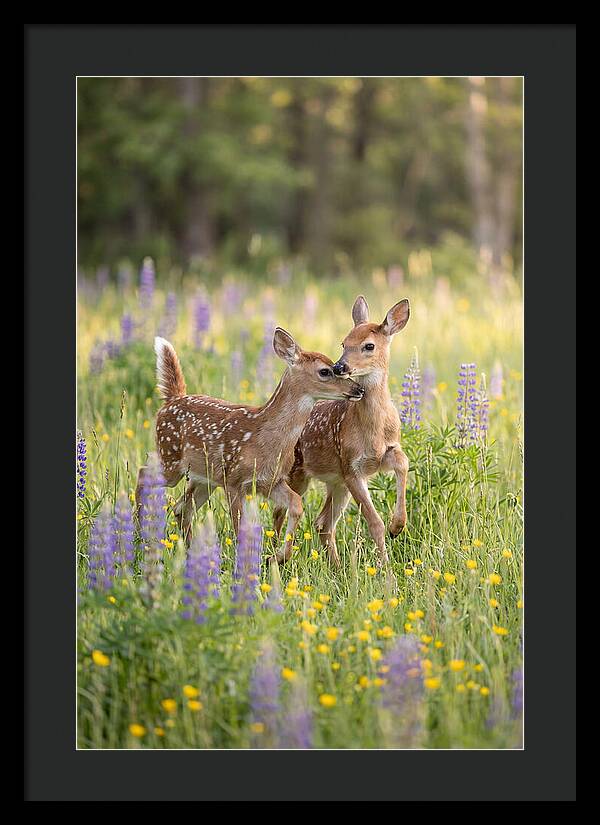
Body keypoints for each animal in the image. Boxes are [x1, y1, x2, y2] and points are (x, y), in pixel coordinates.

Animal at [135, 330, 364, 557]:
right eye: (325, 371)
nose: (359, 389)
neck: (264, 439)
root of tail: (172, 400)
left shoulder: (271, 481)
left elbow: (296, 504)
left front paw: (278, 557)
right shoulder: (234, 481)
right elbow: (240, 528)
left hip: (205, 478)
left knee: (182, 508)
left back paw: (190, 551)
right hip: (171, 458)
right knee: (144, 473)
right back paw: (138, 533)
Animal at [273, 296, 410, 568]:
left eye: (369, 346)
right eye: (344, 343)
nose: (339, 366)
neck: (374, 430)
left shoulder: (384, 453)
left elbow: (403, 463)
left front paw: (397, 526)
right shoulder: (351, 467)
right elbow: (374, 522)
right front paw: (386, 568)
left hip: (336, 483)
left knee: (323, 523)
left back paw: (336, 567)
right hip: (298, 474)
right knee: (280, 513)